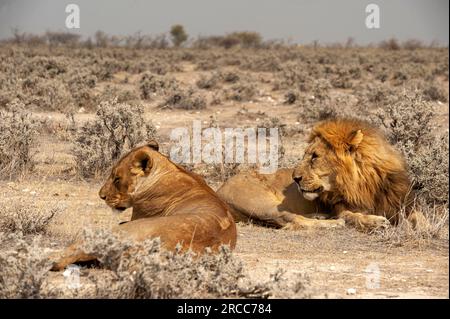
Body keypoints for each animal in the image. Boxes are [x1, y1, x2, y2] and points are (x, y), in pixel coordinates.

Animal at [216, 117, 416, 232]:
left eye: (314, 156)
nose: (295, 179)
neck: (364, 182)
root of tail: (218, 190)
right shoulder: (340, 208)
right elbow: (353, 216)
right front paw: (375, 222)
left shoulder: (400, 203)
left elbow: (417, 217)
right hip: (262, 203)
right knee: (288, 218)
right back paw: (332, 223)